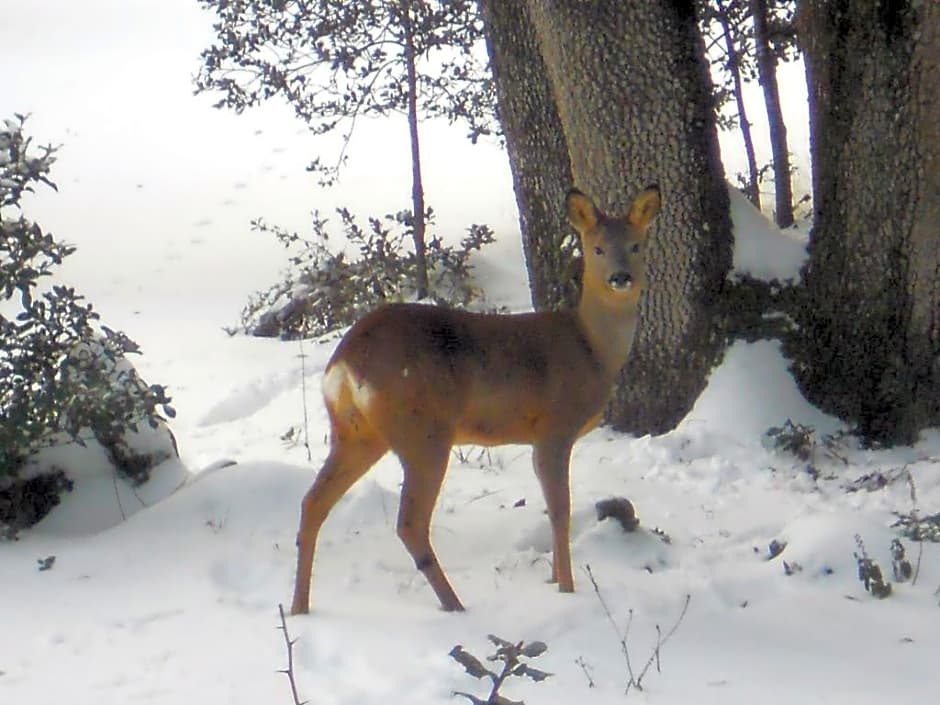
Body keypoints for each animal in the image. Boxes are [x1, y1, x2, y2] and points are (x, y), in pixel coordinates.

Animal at [288, 184, 660, 612]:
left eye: (635, 245)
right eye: (597, 248)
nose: (621, 277)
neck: (591, 347)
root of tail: (345, 362)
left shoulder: (537, 436)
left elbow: (550, 505)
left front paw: (552, 581)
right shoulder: (555, 425)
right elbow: (560, 510)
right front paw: (567, 588)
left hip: (356, 432)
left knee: (313, 502)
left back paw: (299, 607)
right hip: (423, 431)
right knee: (410, 522)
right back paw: (456, 606)